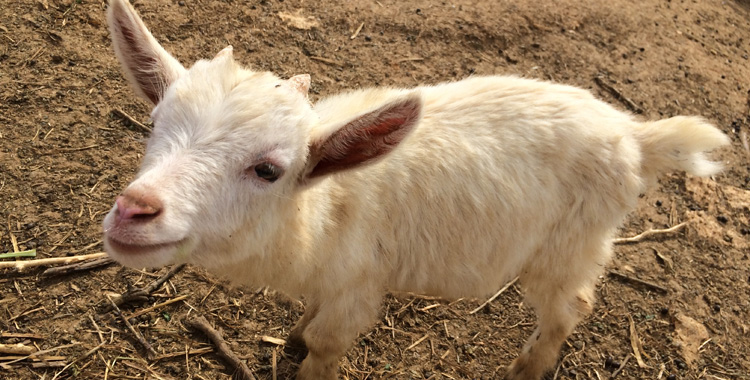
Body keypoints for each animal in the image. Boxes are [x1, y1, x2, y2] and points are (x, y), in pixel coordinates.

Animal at [103, 1, 732, 378]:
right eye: (154, 122)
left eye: (268, 170)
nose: (134, 211)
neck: (319, 210)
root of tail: (635, 136)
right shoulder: (333, 278)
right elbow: (310, 318)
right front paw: (294, 335)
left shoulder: (359, 284)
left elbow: (327, 343)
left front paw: (306, 352)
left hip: (571, 244)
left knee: (570, 305)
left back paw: (527, 369)